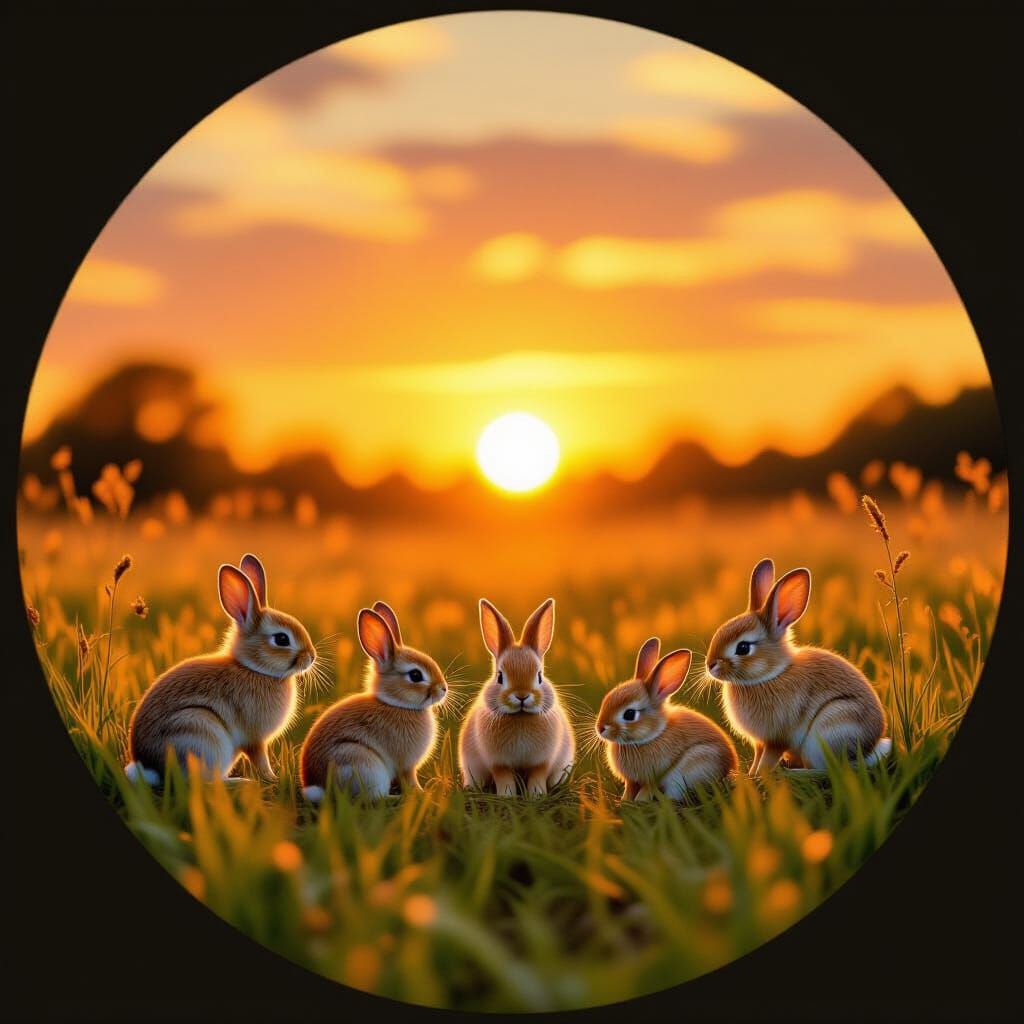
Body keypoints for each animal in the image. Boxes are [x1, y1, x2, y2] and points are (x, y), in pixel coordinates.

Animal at [125, 554, 315, 784]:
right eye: (281, 639)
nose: (311, 657)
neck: (254, 668)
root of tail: (150, 767)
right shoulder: (255, 739)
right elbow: (260, 759)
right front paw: (273, 778)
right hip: (198, 731)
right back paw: (239, 782)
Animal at [299, 602, 448, 802]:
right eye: (416, 675)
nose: (443, 689)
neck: (396, 703)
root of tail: (320, 787)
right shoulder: (407, 766)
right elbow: (410, 780)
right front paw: (422, 793)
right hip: (361, 762)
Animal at [459, 598, 575, 796]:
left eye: (539, 676)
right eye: (500, 677)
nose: (522, 696)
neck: (520, 717)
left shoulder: (541, 763)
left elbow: (537, 777)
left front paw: (536, 796)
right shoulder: (499, 763)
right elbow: (504, 779)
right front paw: (507, 796)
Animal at [596, 637, 738, 801]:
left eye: (629, 714)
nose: (600, 728)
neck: (652, 736)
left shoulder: (653, 778)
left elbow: (647, 789)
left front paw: (639, 801)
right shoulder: (631, 782)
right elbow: (629, 790)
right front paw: (624, 802)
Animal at [706, 558, 892, 774]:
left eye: (743, 648)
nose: (710, 665)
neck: (770, 675)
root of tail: (870, 748)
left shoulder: (775, 740)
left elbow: (767, 759)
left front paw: (760, 776)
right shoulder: (759, 742)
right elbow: (758, 757)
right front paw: (750, 774)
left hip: (829, 731)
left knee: (827, 769)